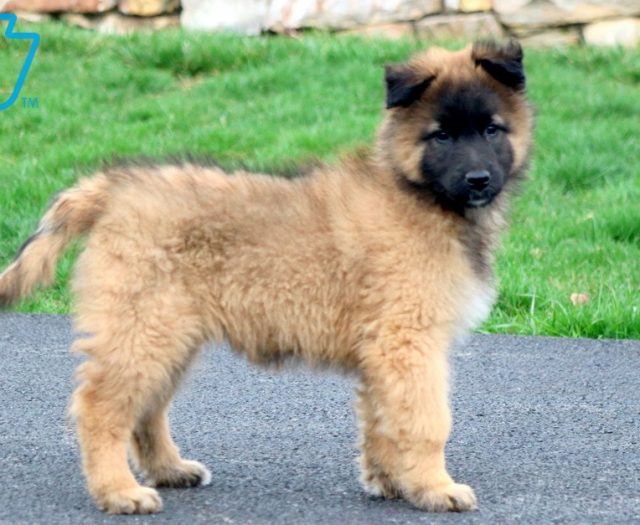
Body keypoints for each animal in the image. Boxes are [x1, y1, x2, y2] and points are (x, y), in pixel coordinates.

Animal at [0, 40, 532, 512]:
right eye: (441, 136)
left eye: (492, 130)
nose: (478, 180)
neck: (417, 194)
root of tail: (114, 189)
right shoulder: (408, 342)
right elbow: (427, 422)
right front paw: (434, 488)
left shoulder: (383, 353)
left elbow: (381, 421)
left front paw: (391, 482)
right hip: (143, 327)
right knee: (101, 408)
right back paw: (118, 491)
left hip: (169, 334)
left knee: (146, 410)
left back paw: (169, 470)